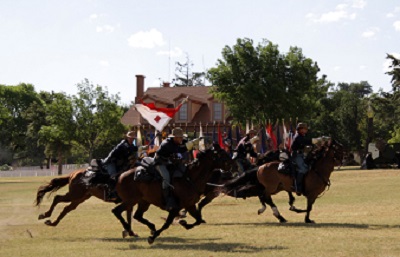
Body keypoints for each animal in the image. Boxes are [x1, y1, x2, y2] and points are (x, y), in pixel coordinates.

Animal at [108, 145, 236, 243]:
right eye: (223, 154)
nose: (233, 166)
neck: (190, 178)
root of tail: (120, 176)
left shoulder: (190, 205)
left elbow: (199, 220)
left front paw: (184, 223)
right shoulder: (175, 208)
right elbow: (167, 224)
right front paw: (152, 238)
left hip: (143, 202)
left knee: (136, 215)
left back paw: (150, 227)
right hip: (130, 201)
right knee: (117, 211)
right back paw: (129, 230)